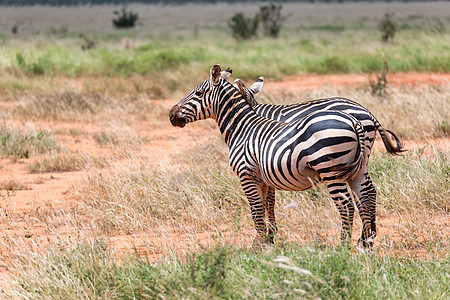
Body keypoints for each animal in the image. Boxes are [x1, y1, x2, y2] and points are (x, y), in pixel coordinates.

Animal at [171, 64, 382, 247]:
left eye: (198, 94)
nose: (171, 115)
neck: (242, 127)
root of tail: (357, 118)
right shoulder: (265, 175)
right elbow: (267, 204)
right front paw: (267, 239)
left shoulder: (248, 175)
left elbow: (257, 209)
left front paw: (260, 244)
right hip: (358, 167)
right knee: (367, 196)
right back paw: (367, 243)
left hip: (331, 170)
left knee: (346, 206)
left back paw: (343, 247)